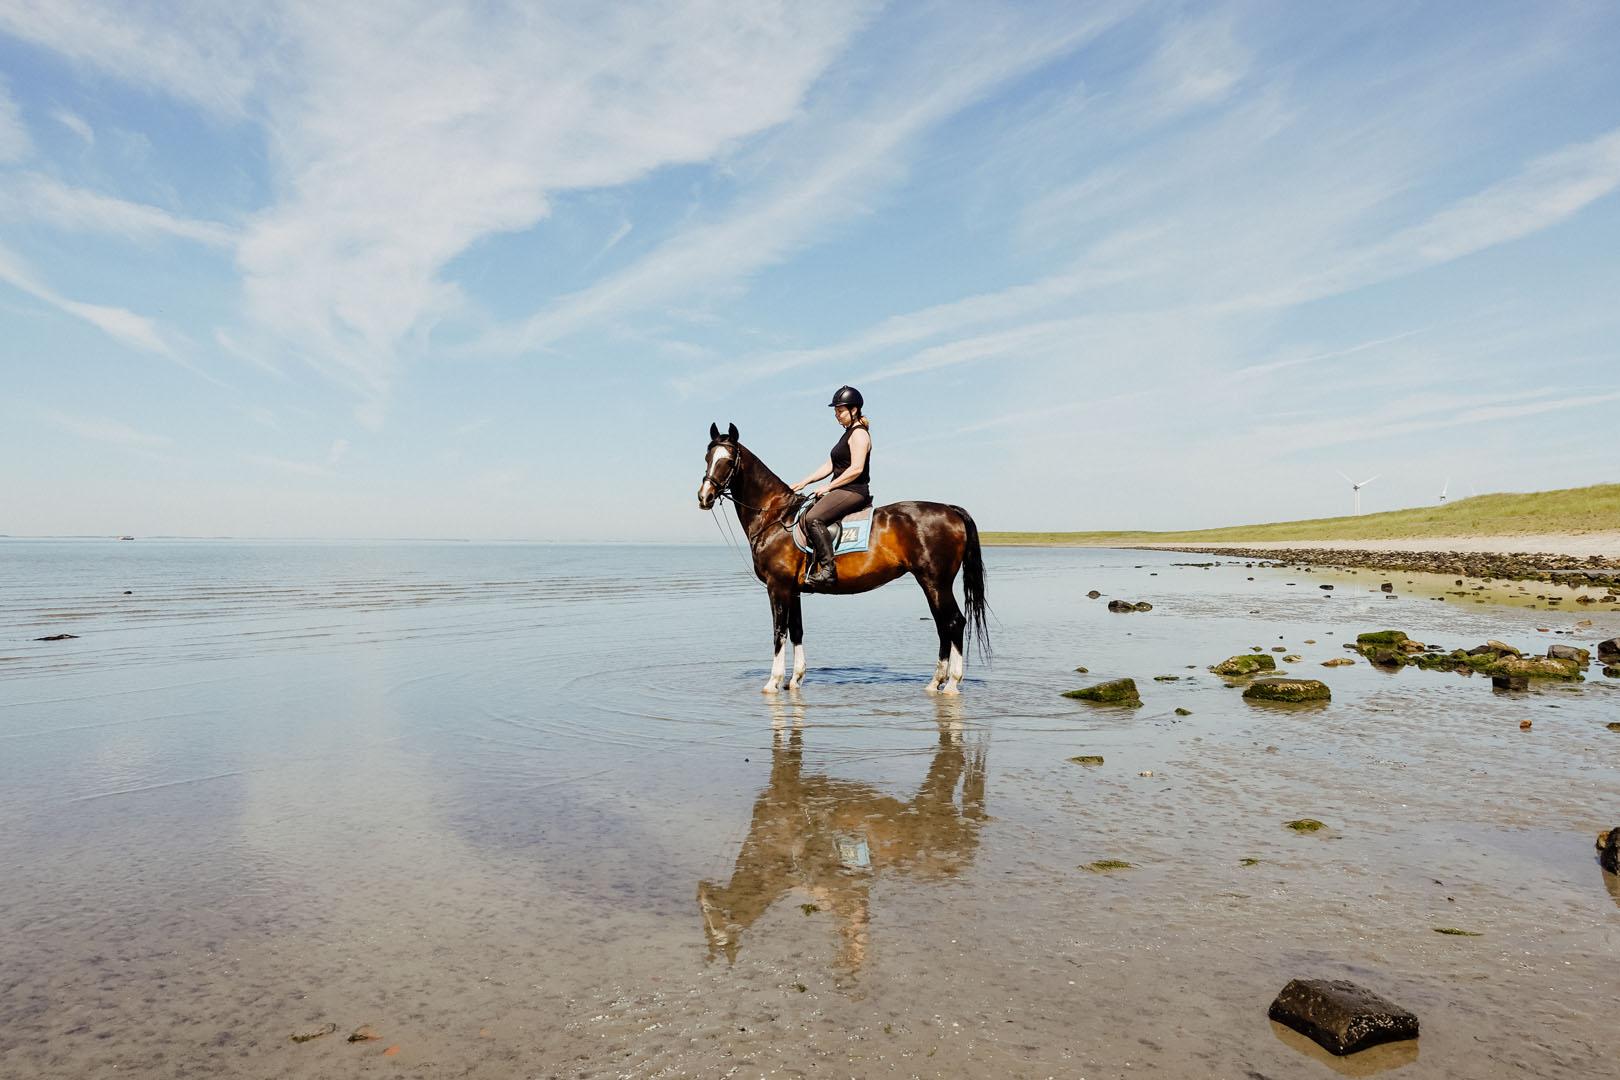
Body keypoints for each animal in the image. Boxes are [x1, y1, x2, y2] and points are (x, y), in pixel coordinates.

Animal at [696, 420, 984, 693]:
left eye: (728, 461)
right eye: (708, 457)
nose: (704, 497)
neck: (776, 516)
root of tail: (950, 510)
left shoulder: (777, 586)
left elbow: (779, 632)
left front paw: (773, 682)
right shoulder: (793, 589)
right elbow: (797, 630)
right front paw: (795, 680)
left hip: (935, 582)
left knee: (954, 622)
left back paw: (952, 684)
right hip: (931, 583)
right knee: (943, 625)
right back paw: (935, 682)